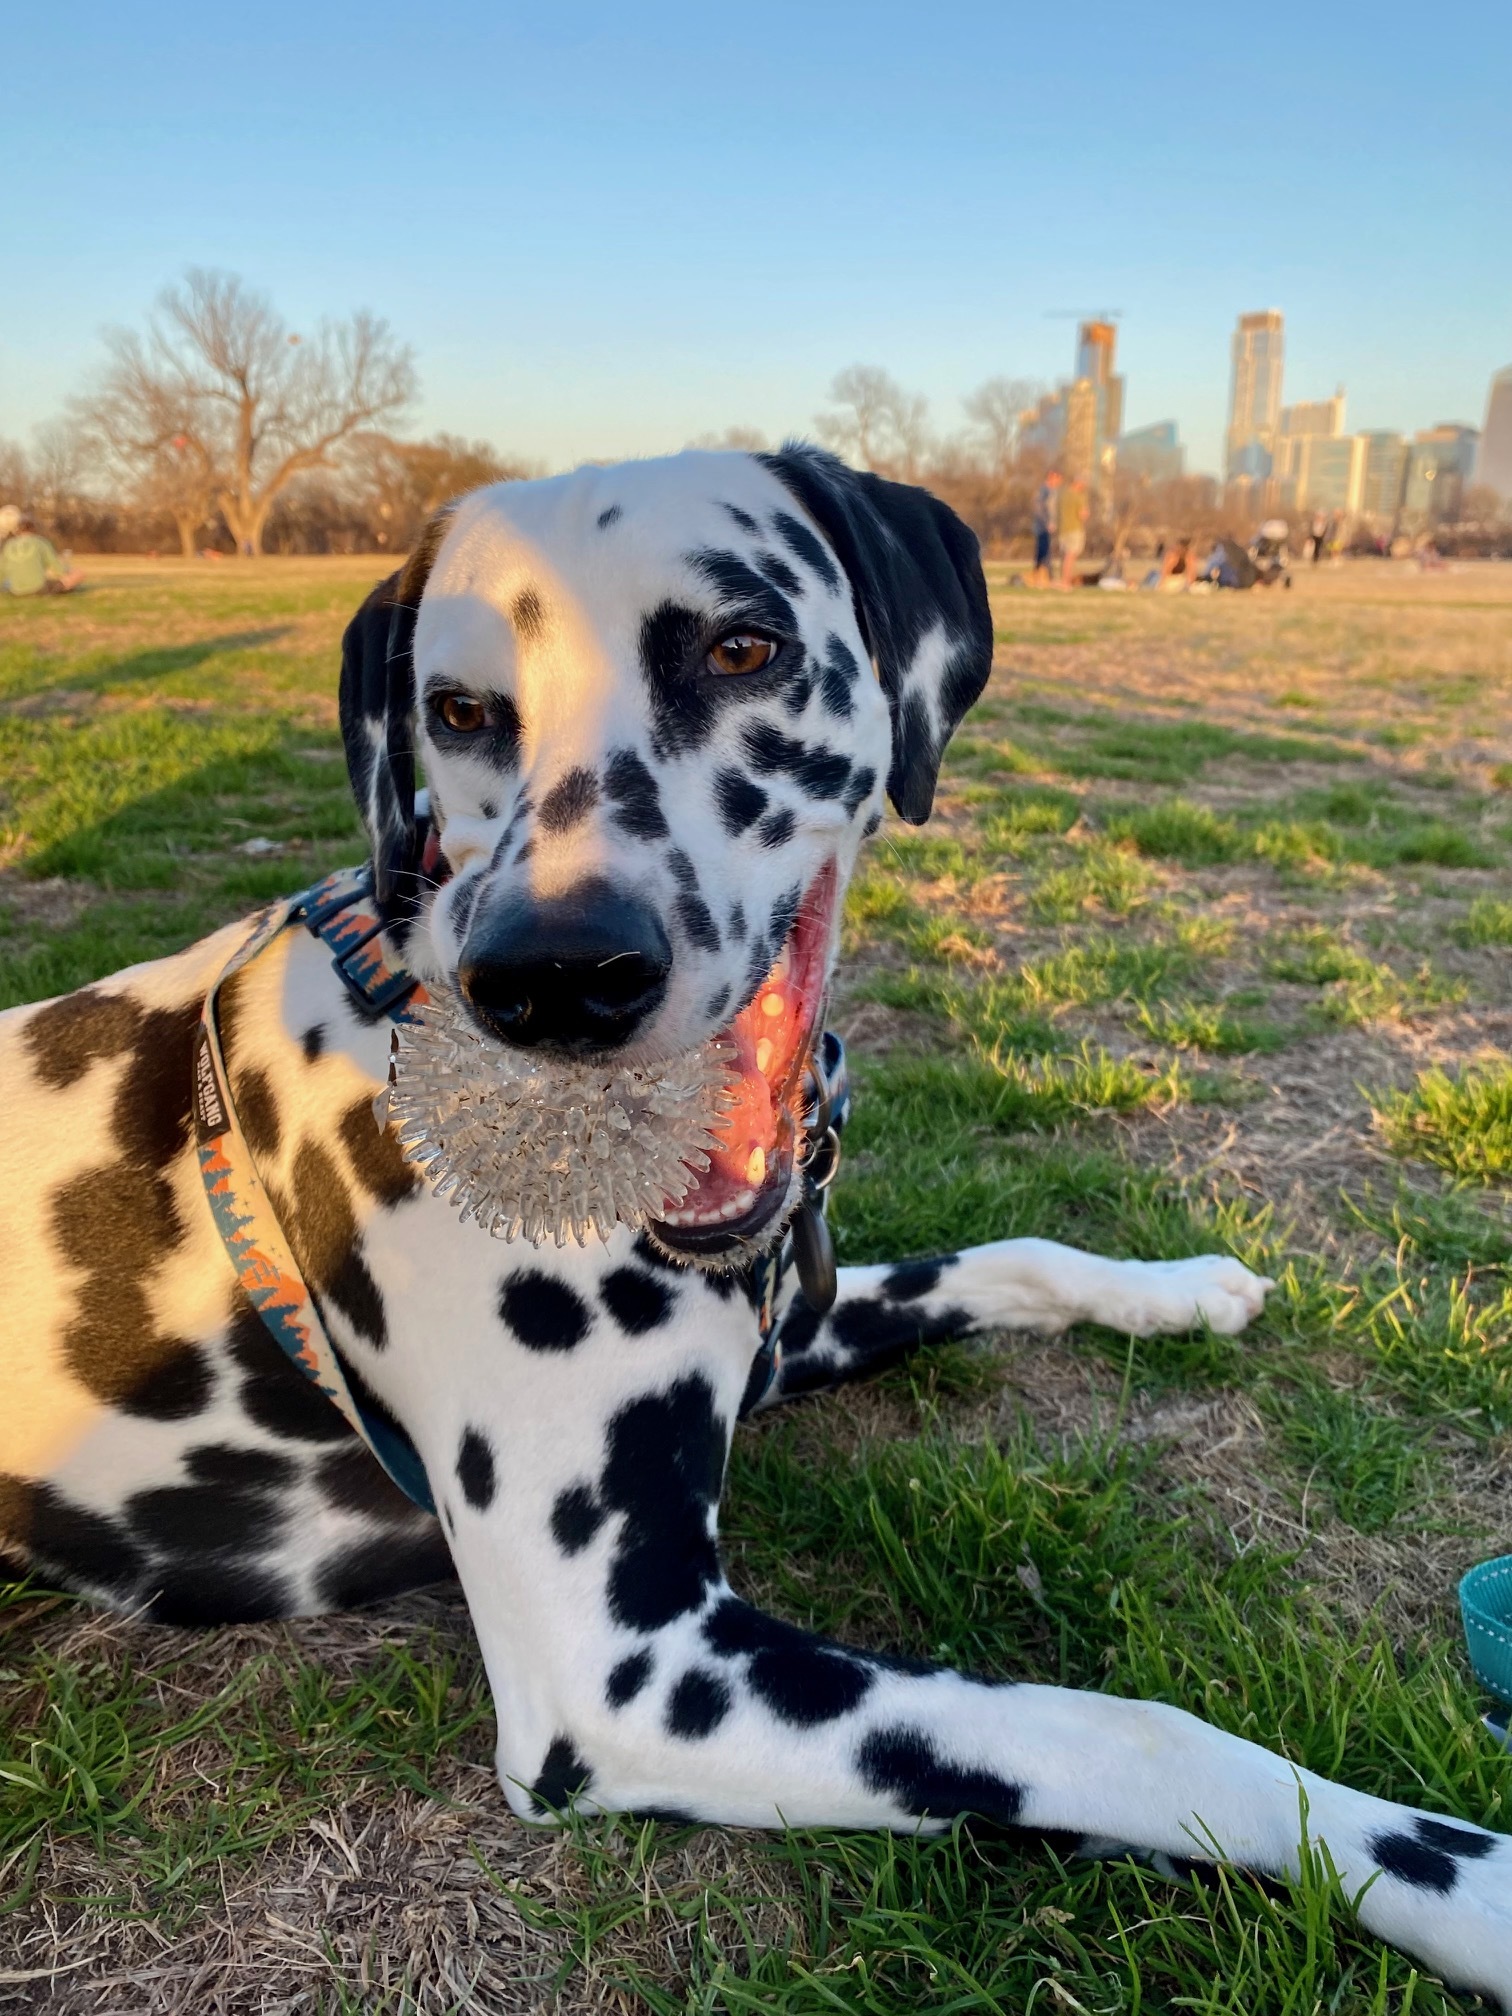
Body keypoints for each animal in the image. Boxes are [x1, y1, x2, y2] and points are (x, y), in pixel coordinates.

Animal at [0, 441, 1507, 1999]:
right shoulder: (631, 1674)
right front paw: (1467, 1882)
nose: (555, 978)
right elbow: (1135, 1732)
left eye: (742, 647)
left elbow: (1012, 1256)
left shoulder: (788, 1322)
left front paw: (1180, 1287)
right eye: (459, 711)